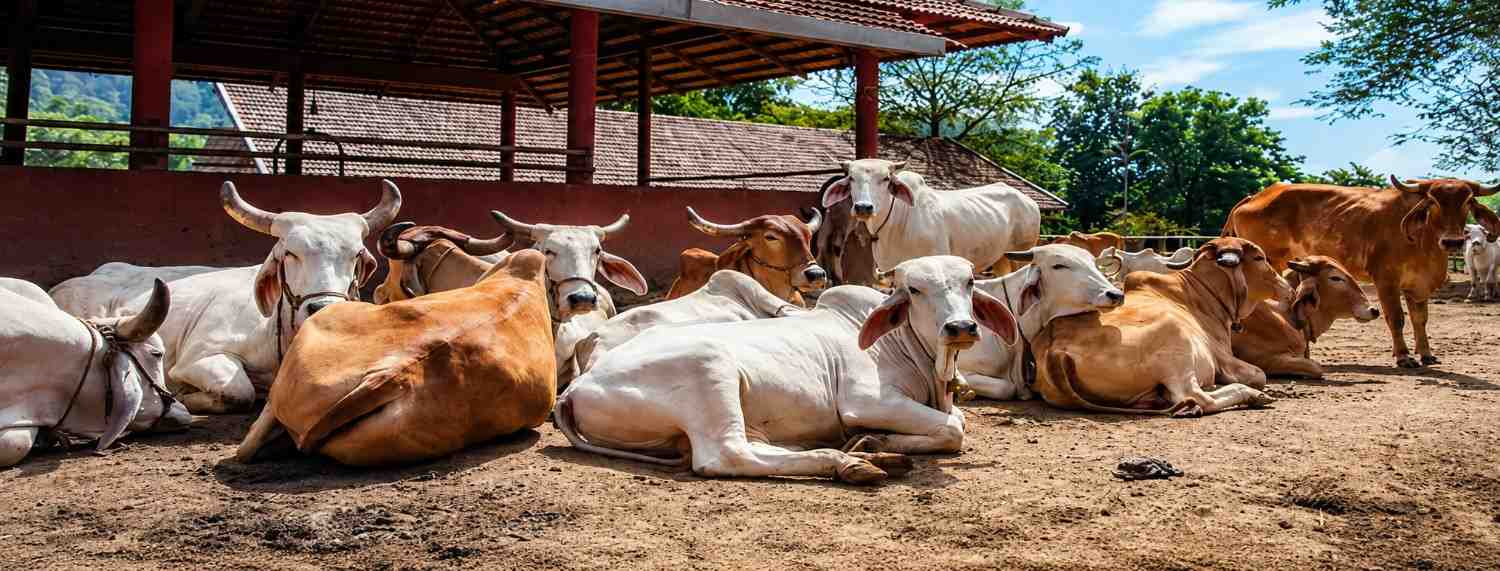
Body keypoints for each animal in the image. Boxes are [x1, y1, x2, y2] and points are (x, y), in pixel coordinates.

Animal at [130, 180, 401, 413]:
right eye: (291, 253)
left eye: (356, 254)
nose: (324, 308)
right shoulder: (198, 356)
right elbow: (240, 391)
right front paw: (184, 397)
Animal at [821, 159, 1041, 277]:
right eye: (851, 178)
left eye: (885, 179)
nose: (863, 207)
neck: (897, 223)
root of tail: (1030, 202)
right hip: (1001, 258)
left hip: (1021, 255)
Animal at [1030, 238, 1293, 416]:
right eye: (1259, 258)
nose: (1287, 288)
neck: (1200, 293)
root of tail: (1056, 350)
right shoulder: (1223, 359)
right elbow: (1259, 374)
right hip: (1176, 344)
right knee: (1196, 397)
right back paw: (1252, 396)